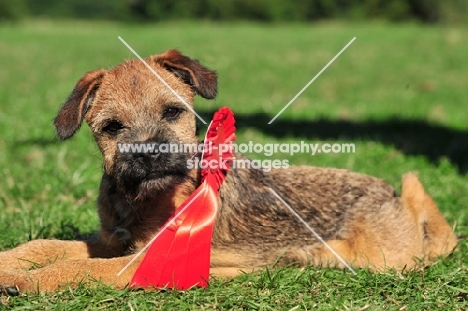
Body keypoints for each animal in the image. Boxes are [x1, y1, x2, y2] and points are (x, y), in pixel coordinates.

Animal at [0, 50, 456, 296]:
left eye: (173, 112)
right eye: (112, 127)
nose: (150, 153)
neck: (142, 201)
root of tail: (392, 195)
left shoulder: (142, 260)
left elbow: (72, 267)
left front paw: (23, 280)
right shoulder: (113, 242)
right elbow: (48, 246)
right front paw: (10, 262)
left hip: (381, 259)